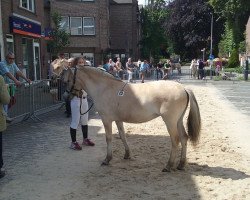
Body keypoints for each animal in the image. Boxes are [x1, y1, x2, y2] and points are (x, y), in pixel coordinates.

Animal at [52, 61, 201, 172]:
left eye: (67, 81)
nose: (65, 97)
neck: (105, 88)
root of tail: (183, 88)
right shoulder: (118, 119)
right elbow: (123, 136)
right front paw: (127, 155)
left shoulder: (107, 119)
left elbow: (109, 138)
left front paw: (107, 159)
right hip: (178, 121)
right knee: (184, 138)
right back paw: (181, 164)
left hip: (170, 121)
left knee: (175, 140)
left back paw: (168, 166)